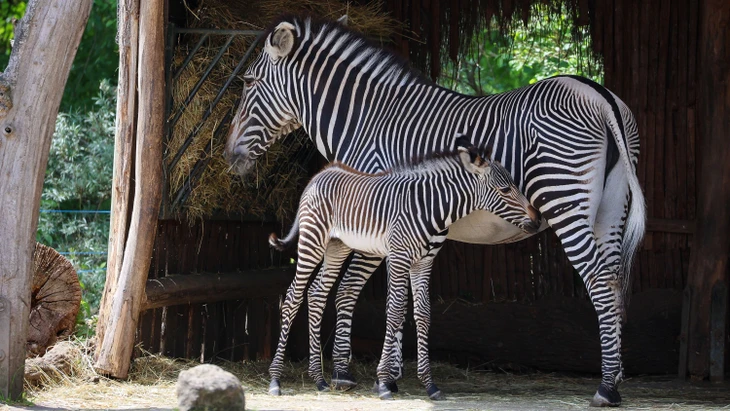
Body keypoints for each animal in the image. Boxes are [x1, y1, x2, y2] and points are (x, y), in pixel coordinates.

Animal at [266, 136, 541, 399]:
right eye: (505, 189)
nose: (537, 221)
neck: (431, 208)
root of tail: (319, 175)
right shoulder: (399, 257)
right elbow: (396, 312)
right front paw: (384, 382)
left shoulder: (423, 262)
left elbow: (423, 314)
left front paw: (429, 385)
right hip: (312, 241)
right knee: (292, 298)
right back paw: (275, 380)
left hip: (337, 246)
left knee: (316, 294)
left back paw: (319, 379)